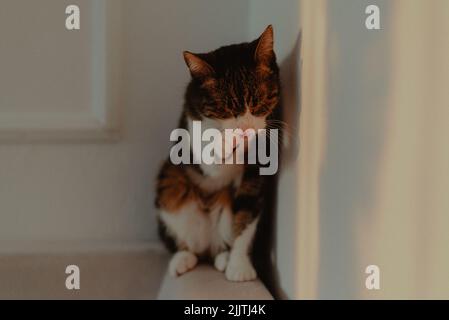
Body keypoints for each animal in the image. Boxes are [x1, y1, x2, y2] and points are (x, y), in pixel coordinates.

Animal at [155, 25, 280, 282]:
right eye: (226, 109)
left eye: (258, 102)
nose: (245, 129)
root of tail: (206, 244)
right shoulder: (192, 127)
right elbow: (208, 159)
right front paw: (226, 141)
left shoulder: (257, 170)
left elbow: (247, 210)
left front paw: (239, 266)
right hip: (171, 178)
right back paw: (183, 258)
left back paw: (224, 257)